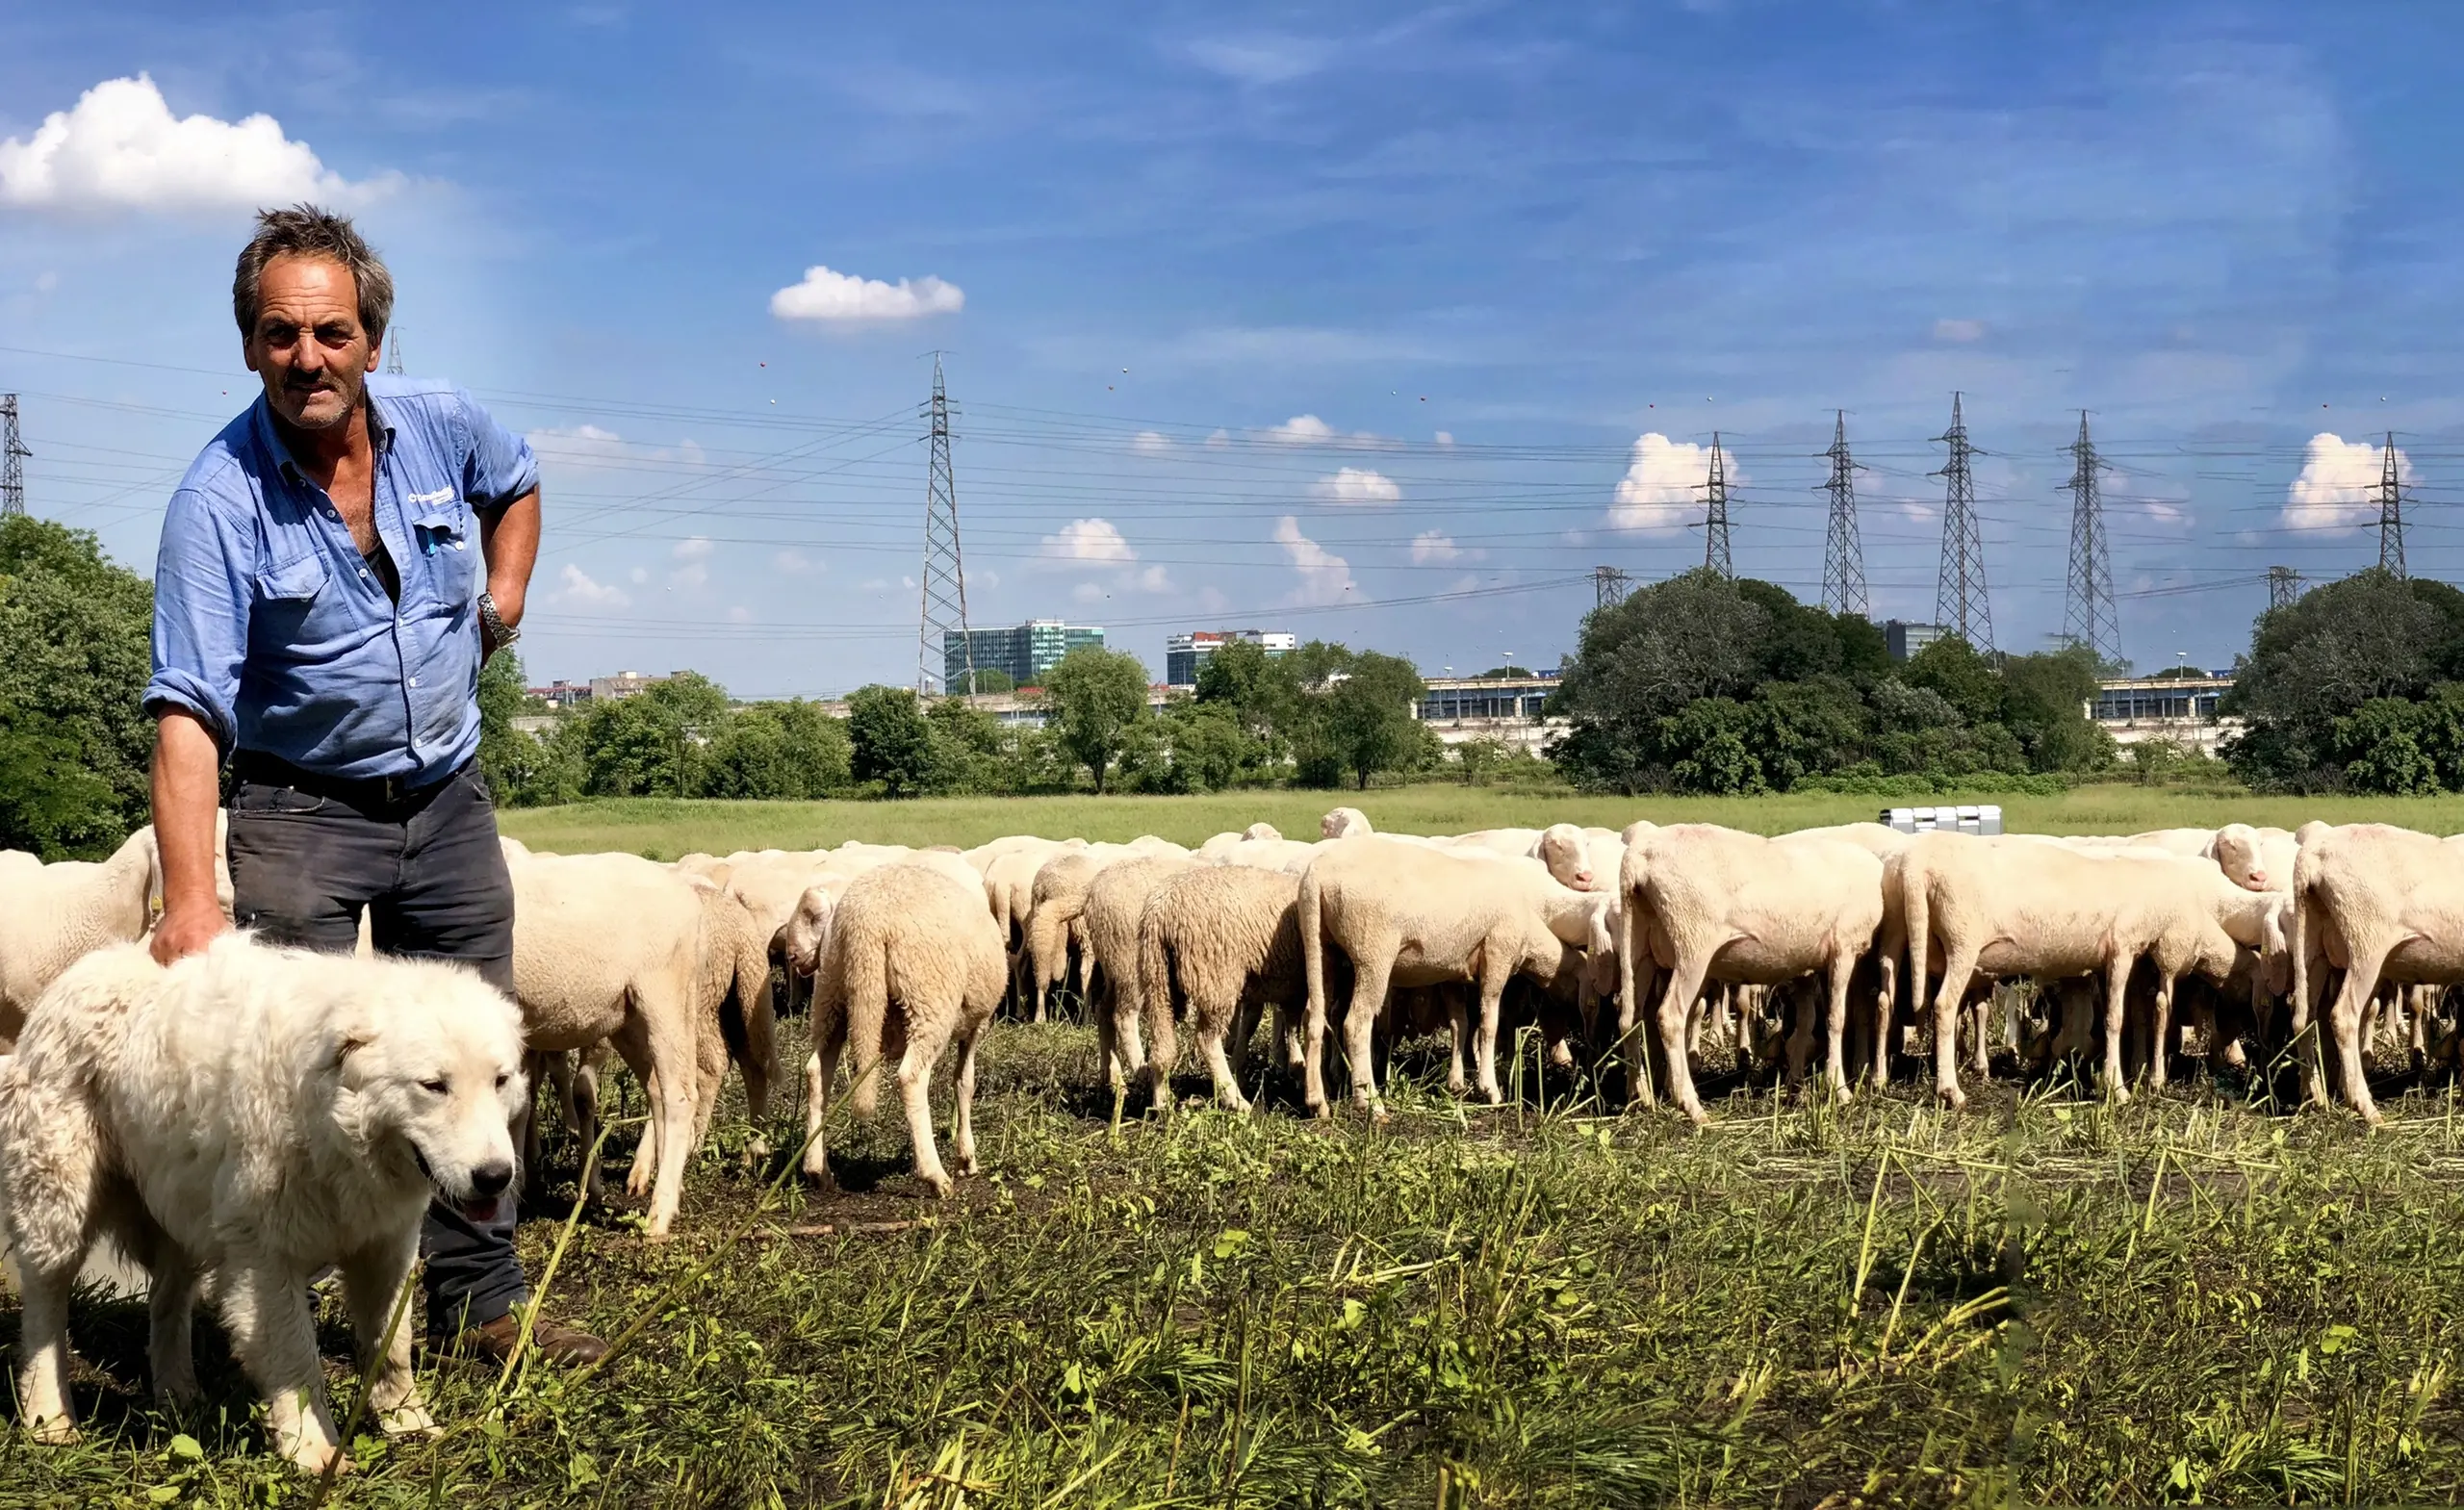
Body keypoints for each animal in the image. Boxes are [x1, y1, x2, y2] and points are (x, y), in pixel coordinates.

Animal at [0, 935, 529, 1468]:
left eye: (500, 1081)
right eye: (434, 1086)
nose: (495, 1177)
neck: (332, 1127)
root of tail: (83, 970)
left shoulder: (385, 1245)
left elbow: (392, 1344)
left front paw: (408, 1423)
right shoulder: (266, 1261)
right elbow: (296, 1357)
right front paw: (314, 1449)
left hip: (182, 1213)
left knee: (167, 1300)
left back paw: (178, 1396)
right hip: (60, 1203)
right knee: (46, 1309)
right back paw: (49, 1417)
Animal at [1300, 842, 1606, 1113]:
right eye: (1591, 993)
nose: (1591, 1040)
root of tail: (1317, 875)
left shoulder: (1452, 971)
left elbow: (1460, 1023)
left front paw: (1456, 1083)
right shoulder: (1497, 954)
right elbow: (1488, 1023)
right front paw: (1490, 1089)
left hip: (1323, 949)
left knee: (1315, 1018)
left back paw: (1318, 1099)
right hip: (1373, 951)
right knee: (1355, 1024)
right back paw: (1369, 1103)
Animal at [1616, 822, 1882, 1118]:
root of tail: (1641, 855)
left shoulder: (1805, 967)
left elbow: (1806, 1022)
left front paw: (1796, 1088)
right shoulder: (1843, 948)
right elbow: (1836, 1018)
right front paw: (1840, 1089)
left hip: (1638, 944)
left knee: (1629, 1017)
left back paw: (1639, 1095)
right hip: (1693, 940)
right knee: (1670, 1016)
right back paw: (1691, 1105)